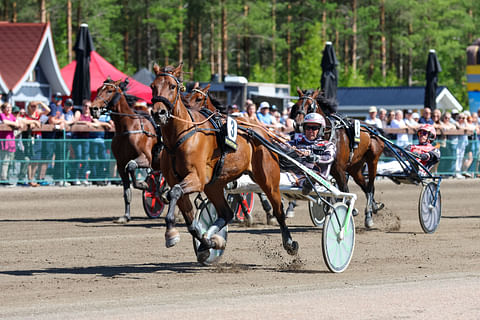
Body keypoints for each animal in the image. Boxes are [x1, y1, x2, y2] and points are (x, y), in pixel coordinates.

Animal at [89, 78, 158, 224]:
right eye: (98, 90)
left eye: (110, 90)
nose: (93, 109)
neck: (129, 127)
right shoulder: (120, 163)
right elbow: (127, 189)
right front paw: (126, 216)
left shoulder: (146, 159)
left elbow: (131, 166)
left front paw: (144, 184)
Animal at [150, 63, 298, 264]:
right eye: (152, 86)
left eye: (172, 86)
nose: (158, 113)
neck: (179, 137)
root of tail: (262, 130)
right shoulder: (177, 180)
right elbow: (190, 221)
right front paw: (209, 243)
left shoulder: (197, 179)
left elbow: (175, 192)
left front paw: (171, 234)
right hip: (214, 185)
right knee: (226, 213)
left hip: (268, 179)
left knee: (279, 210)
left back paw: (289, 243)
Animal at [288, 87, 386, 228]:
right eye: (296, 106)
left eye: (310, 107)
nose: (298, 124)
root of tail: (373, 129)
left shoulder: (339, 169)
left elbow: (343, 190)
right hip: (355, 168)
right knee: (365, 186)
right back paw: (373, 207)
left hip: (373, 161)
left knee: (370, 186)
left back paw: (368, 215)